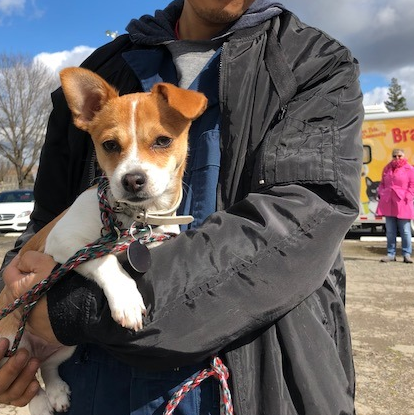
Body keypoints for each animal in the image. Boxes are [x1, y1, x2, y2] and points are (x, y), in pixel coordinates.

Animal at [0, 68, 207, 415]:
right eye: (110, 145)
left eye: (163, 141)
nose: (132, 179)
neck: (134, 221)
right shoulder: (65, 240)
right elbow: (105, 259)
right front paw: (127, 299)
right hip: (7, 346)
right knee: (27, 376)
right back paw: (41, 402)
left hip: (64, 346)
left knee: (43, 366)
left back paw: (56, 393)